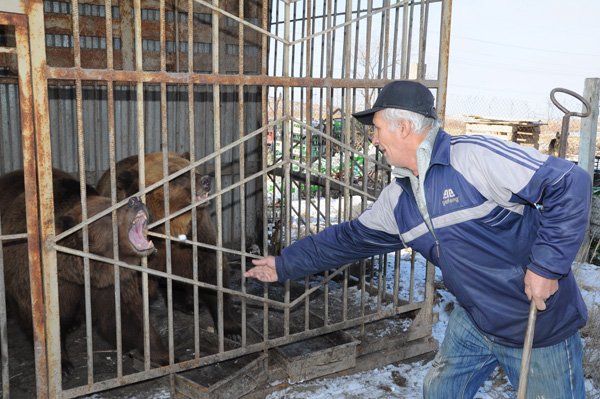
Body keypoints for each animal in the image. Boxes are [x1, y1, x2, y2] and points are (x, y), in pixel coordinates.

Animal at [0, 169, 169, 378]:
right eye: (107, 212)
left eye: (113, 201)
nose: (134, 200)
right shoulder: (42, 281)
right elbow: (43, 322)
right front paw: (63, 365)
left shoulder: (110, 283)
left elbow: (126, 317)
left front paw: (164, 356)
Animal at [95, 153, 240, 340]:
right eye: (175, 175)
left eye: (194, 169)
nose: (206, 180)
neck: (170, 228)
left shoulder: (198, 237)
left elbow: (213, 274)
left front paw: (231, 328)